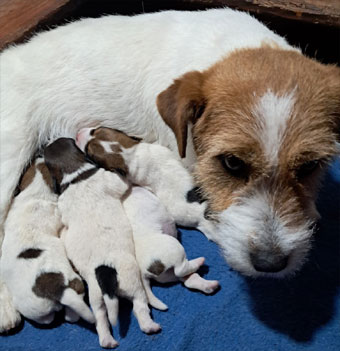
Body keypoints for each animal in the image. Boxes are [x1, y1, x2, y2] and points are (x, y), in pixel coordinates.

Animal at [44, 138, 161, 350]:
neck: (77, 173)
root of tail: (105, 271)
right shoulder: (111, 181)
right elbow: (121, 181)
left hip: (96, 297)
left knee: (101, 319)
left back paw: (107, 339)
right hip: (132, 283)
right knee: (140, 306)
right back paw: (149, 326)